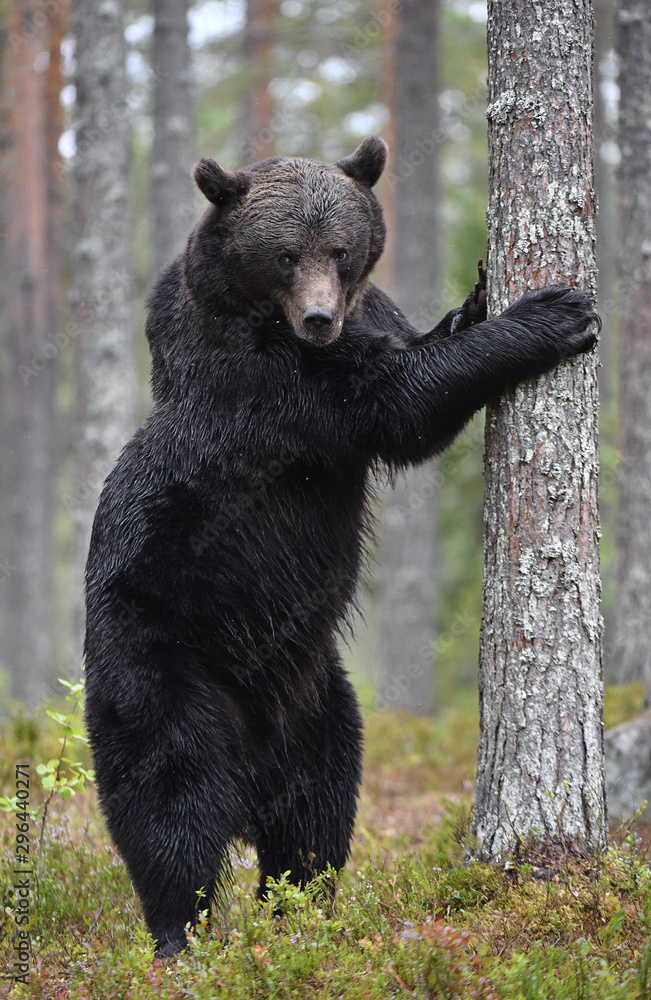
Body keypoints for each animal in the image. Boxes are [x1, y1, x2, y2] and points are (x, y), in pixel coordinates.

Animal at [84, 136, 598, 956]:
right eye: (284, 254)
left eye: (340, 248)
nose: (320, 317)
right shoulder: (275, 389)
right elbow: (401, 403)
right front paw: (551, 313)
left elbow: (411, 351)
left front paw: (480, 294)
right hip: (157, 664)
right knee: (172, 803)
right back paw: (180, 938)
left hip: (315, 701)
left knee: (317, 813)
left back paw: (301, 915)